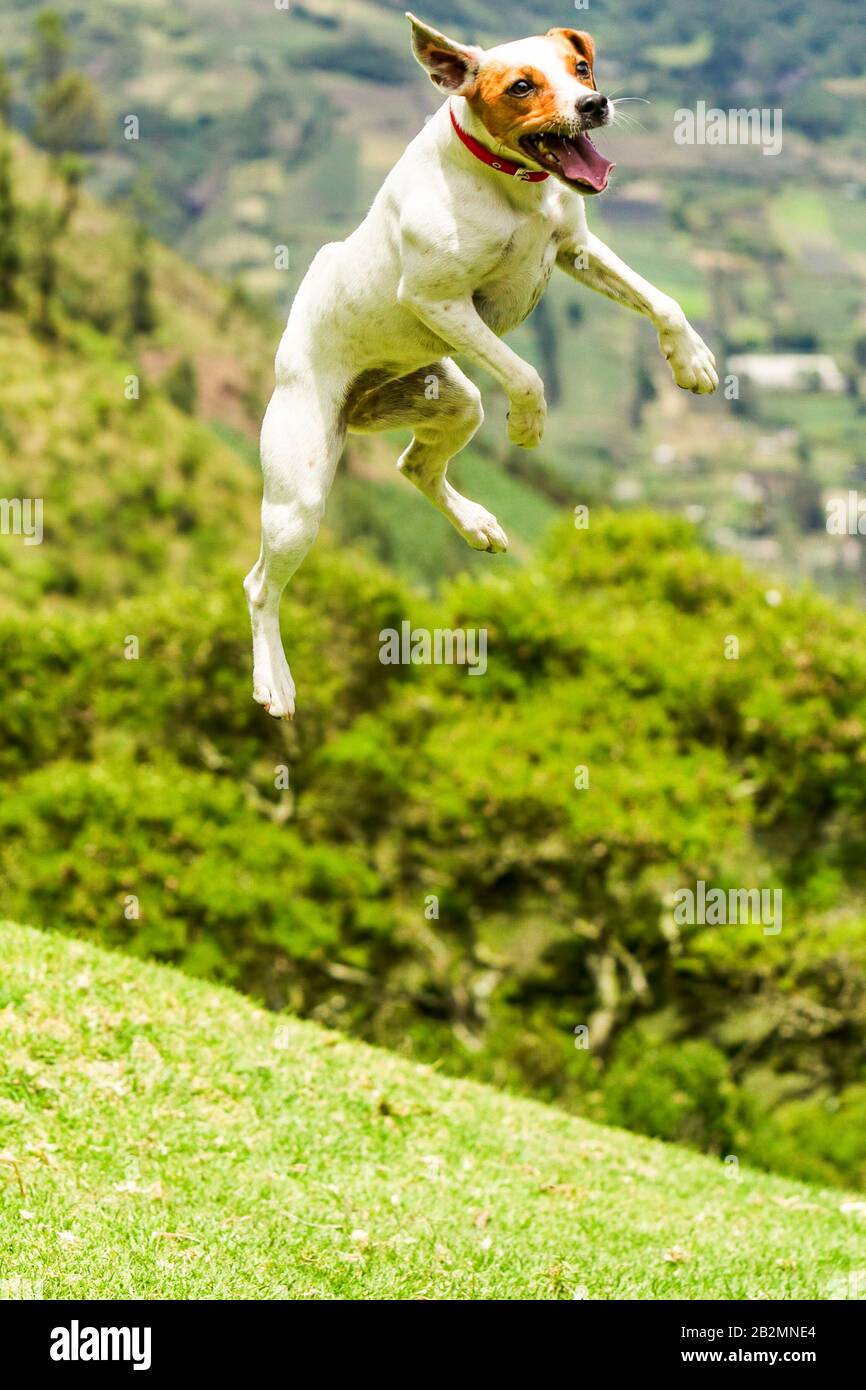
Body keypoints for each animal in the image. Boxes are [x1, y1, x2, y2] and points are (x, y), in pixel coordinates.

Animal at [241, 13, 717, 717]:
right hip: (298, 499)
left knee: (414, 466)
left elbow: (662, 300)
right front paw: (528, 424)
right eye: (522, 86)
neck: (511, 186)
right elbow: (524, 372)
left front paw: (692, 360)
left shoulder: (575, 249)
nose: (594, 104)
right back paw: (273, 680)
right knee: (259, 587)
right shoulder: (439, 299)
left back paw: (475, 522)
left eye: (580, 69)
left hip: (450, 401)